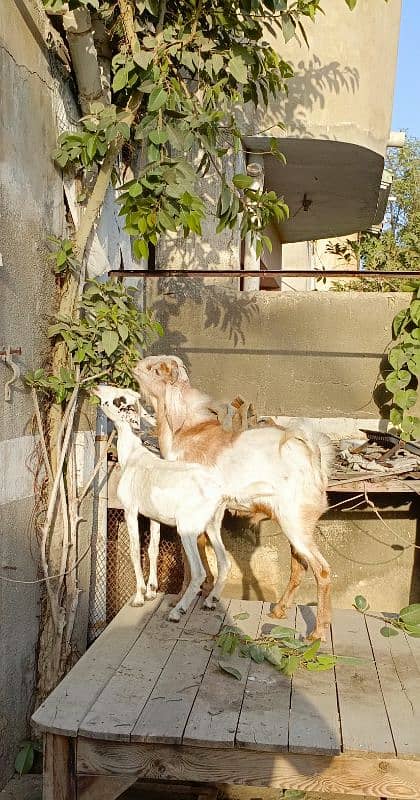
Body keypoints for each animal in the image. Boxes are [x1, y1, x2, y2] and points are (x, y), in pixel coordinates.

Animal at [93, 384, 231, 620]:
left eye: (119, 399)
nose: (97, 386)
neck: (133, 457)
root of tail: (217, 491)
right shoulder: (153, 517)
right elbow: (153, 549)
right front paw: (151, 591)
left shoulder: (130, 511)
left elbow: (134, 550)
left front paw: (139, 597)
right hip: (212, 526)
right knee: (224, 562)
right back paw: (210, 602)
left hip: (187, 530)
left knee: (199, 572)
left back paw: (177, 611)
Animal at [134, 354, 334, 636]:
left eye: (155, 369)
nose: (136, 366)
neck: (184, 431)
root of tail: (315, 458)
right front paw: (207, 595)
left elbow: (188, 559)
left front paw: (180, 601)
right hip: (296, 526)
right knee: (300, 565)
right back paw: (279, 610)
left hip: (295, 524)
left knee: (322, 570)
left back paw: (317, 634)